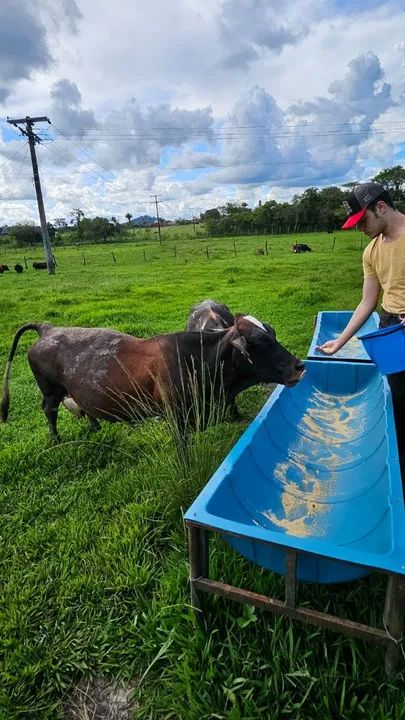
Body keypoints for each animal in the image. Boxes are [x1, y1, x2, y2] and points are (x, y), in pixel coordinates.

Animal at [0, 319, 304, 442]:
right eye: (259, 342)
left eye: (272, 334)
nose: (299, 366)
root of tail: (48, 328)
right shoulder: (176, 418)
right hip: (51, 390)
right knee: (49, 411)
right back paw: (55, 440)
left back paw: (95, 427)